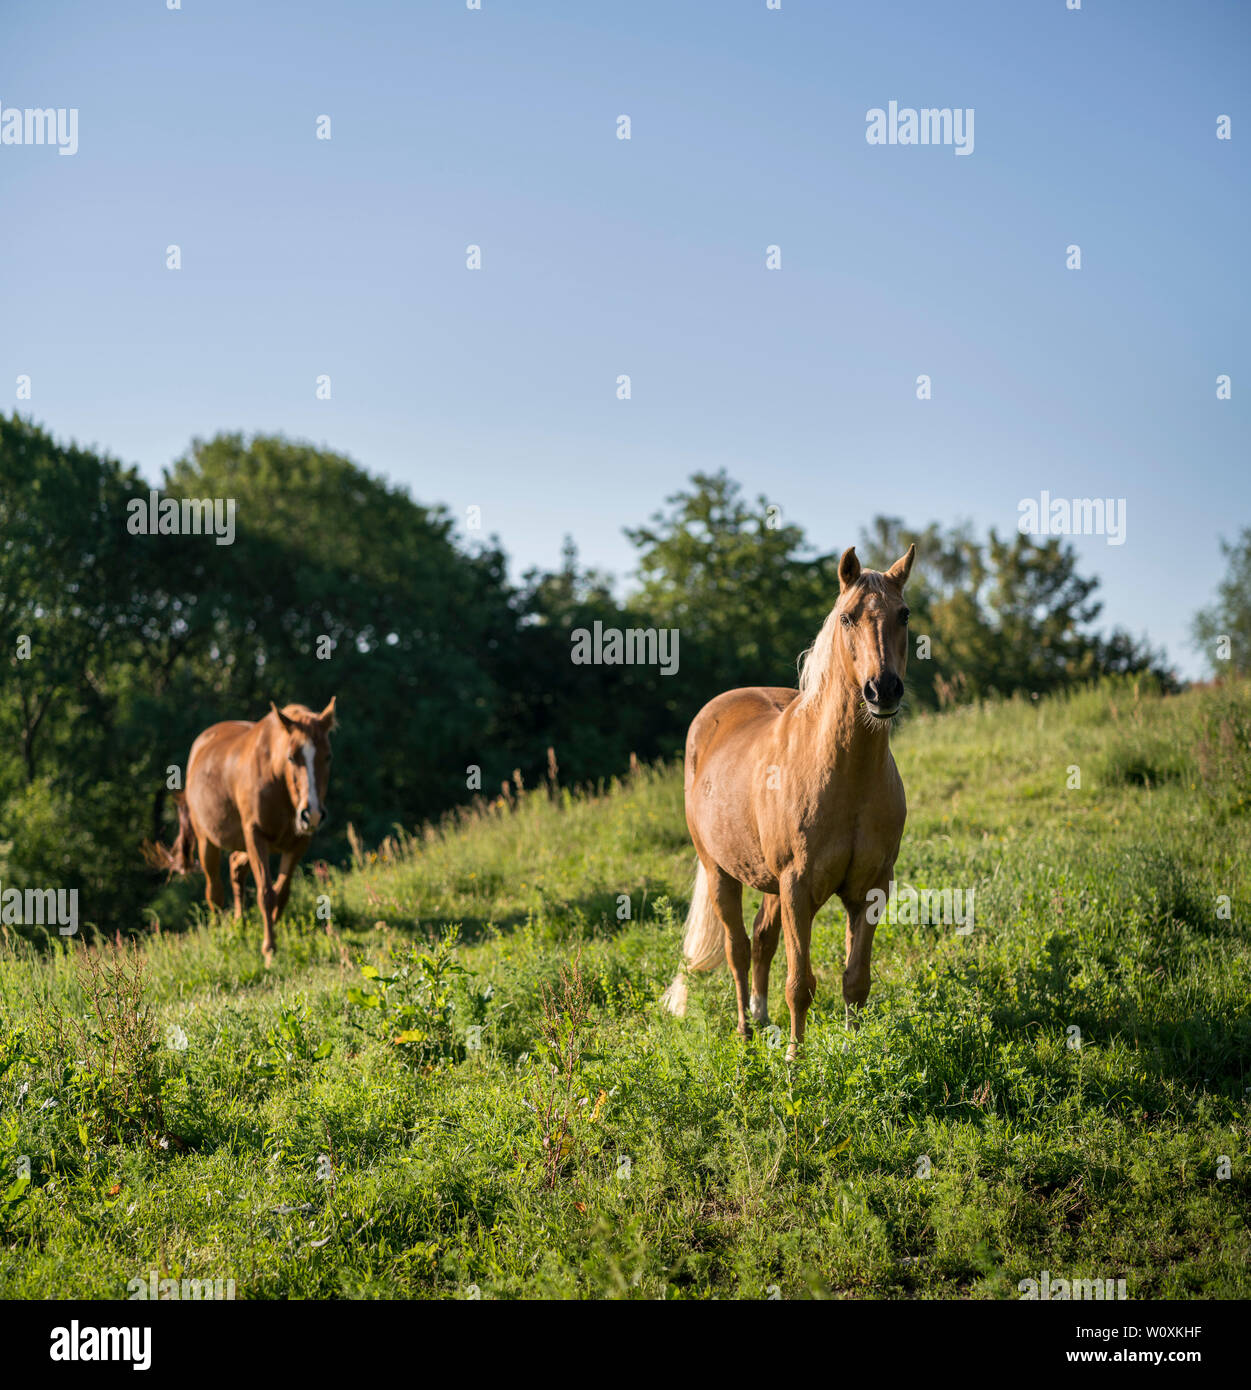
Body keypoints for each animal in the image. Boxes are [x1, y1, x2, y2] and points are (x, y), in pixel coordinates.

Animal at [149, 700, 337, 961]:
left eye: (327, 757)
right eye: (291, 757)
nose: (313, 814)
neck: (277, 778)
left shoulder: (299, 842)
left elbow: (281, 892)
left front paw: (272, 928)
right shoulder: (255, 837)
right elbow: (266, 893)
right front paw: (269, 949)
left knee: (236, 868)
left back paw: (240, 924)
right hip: (207, 842)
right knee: (215, 892)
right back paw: (219, 935)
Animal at [658, 542, 911, 1050]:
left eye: (905, 614)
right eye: (848, 617)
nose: (883, 690)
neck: (846, 775)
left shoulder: (870, 889)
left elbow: (856, 981)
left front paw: (854, 1050)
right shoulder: (797, 888)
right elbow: (801, 984)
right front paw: (797, 1058)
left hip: (769, 883)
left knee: (761, 940)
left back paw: (760, 1016)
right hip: (722, 873)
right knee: (737, 948)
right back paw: (744, 1031)